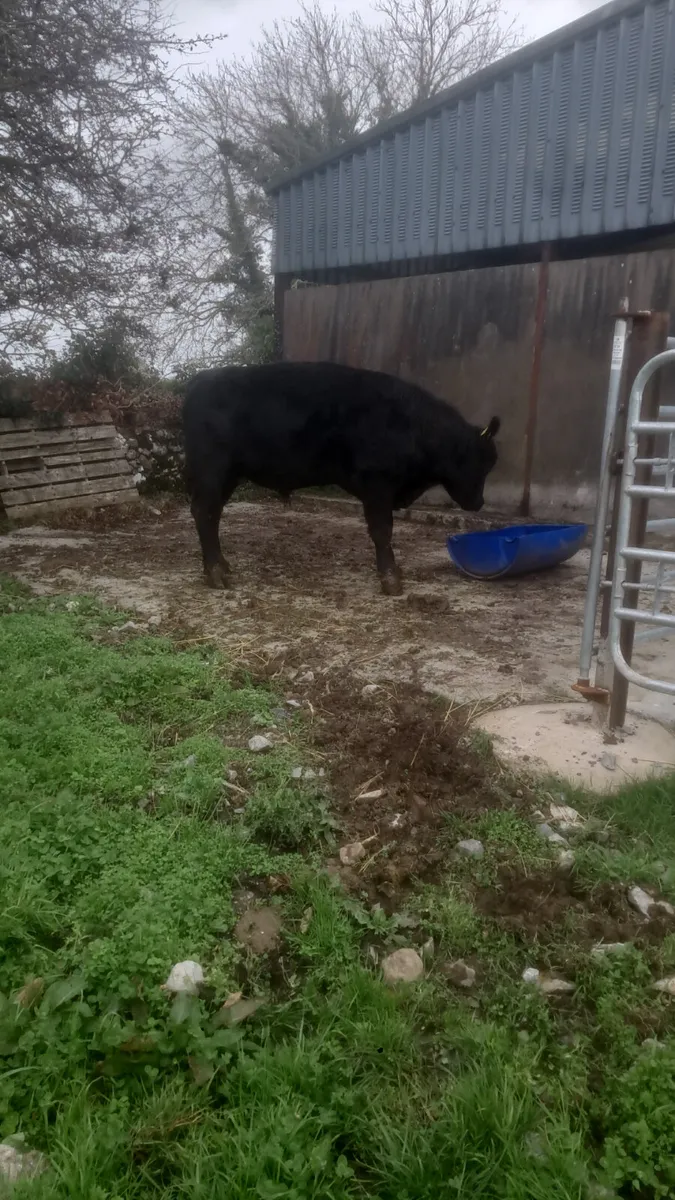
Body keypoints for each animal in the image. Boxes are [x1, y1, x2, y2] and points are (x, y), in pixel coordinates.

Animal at [182, 361, 500, 596]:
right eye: (484, 462)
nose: (479, 502)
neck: (413, 426)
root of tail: (200, 380)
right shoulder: (377, 485)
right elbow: (382, 531)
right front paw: (391, 580)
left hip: (229, 475)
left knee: (211, 514)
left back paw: (221, 566)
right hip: (212, 471)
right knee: (204, 512)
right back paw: (216, 574)